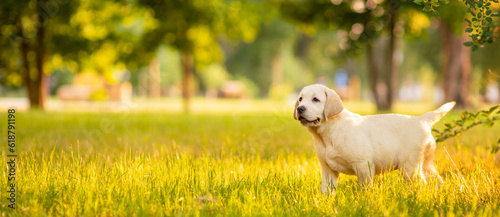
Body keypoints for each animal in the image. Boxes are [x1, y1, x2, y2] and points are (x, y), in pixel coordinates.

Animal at [294, 84, 456, 194]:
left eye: (316, 99)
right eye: (300, 99)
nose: (300, 108)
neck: (328, 132)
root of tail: (421, 119)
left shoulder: (363, 165)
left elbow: (365, 188)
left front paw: (364, 202)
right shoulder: (328, 169)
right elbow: (326, 191)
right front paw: (326, 203)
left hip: (410, 167)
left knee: (421, 183)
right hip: (426, 163)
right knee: (437, 179)